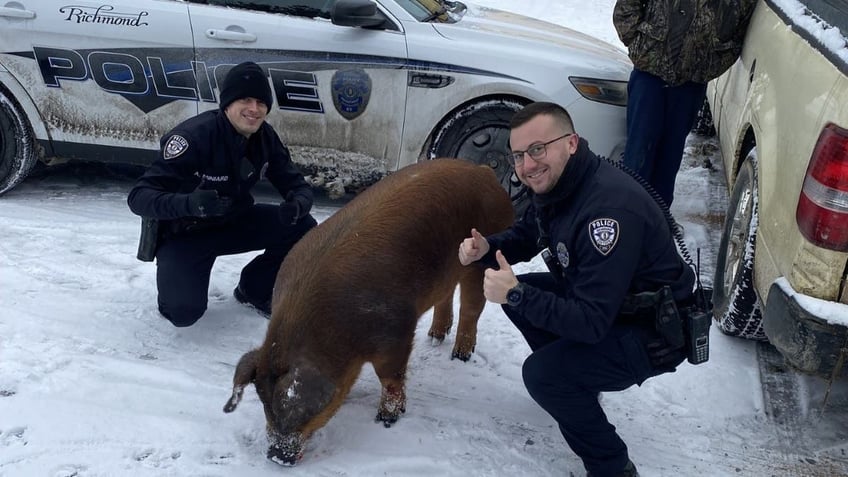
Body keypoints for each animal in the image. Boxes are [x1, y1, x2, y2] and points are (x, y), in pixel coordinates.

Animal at [222, 158, 512, 462]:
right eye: (263, 401)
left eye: (292, 406)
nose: (277, 455)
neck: (334, 334)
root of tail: (483, 171)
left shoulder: (397, 331)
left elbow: (391, 377)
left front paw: (386, 420)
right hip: (446, 270)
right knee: (445, 297)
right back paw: (434, 338)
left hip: (483, 259)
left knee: (472, 308)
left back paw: (460, 356)